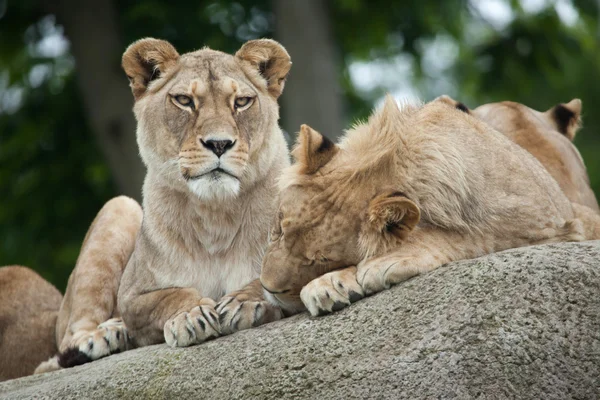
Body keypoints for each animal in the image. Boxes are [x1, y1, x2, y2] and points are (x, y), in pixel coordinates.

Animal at [0, 37, 290, 378]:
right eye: (184, 100)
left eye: (242, 102)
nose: (219, 144)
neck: (215, 214)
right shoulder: (132, 297)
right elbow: (170, 296)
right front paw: (190, 315)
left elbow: (267, 281)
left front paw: (243, 303)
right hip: (119, 208)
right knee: (59, 350)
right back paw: (103, 337)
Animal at [260, 95, 596, 318]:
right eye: (277, 229)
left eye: (320, 259)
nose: (268, 287)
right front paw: (327, 285)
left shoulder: (557, 225)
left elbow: (471, 236)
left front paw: (385, 261)